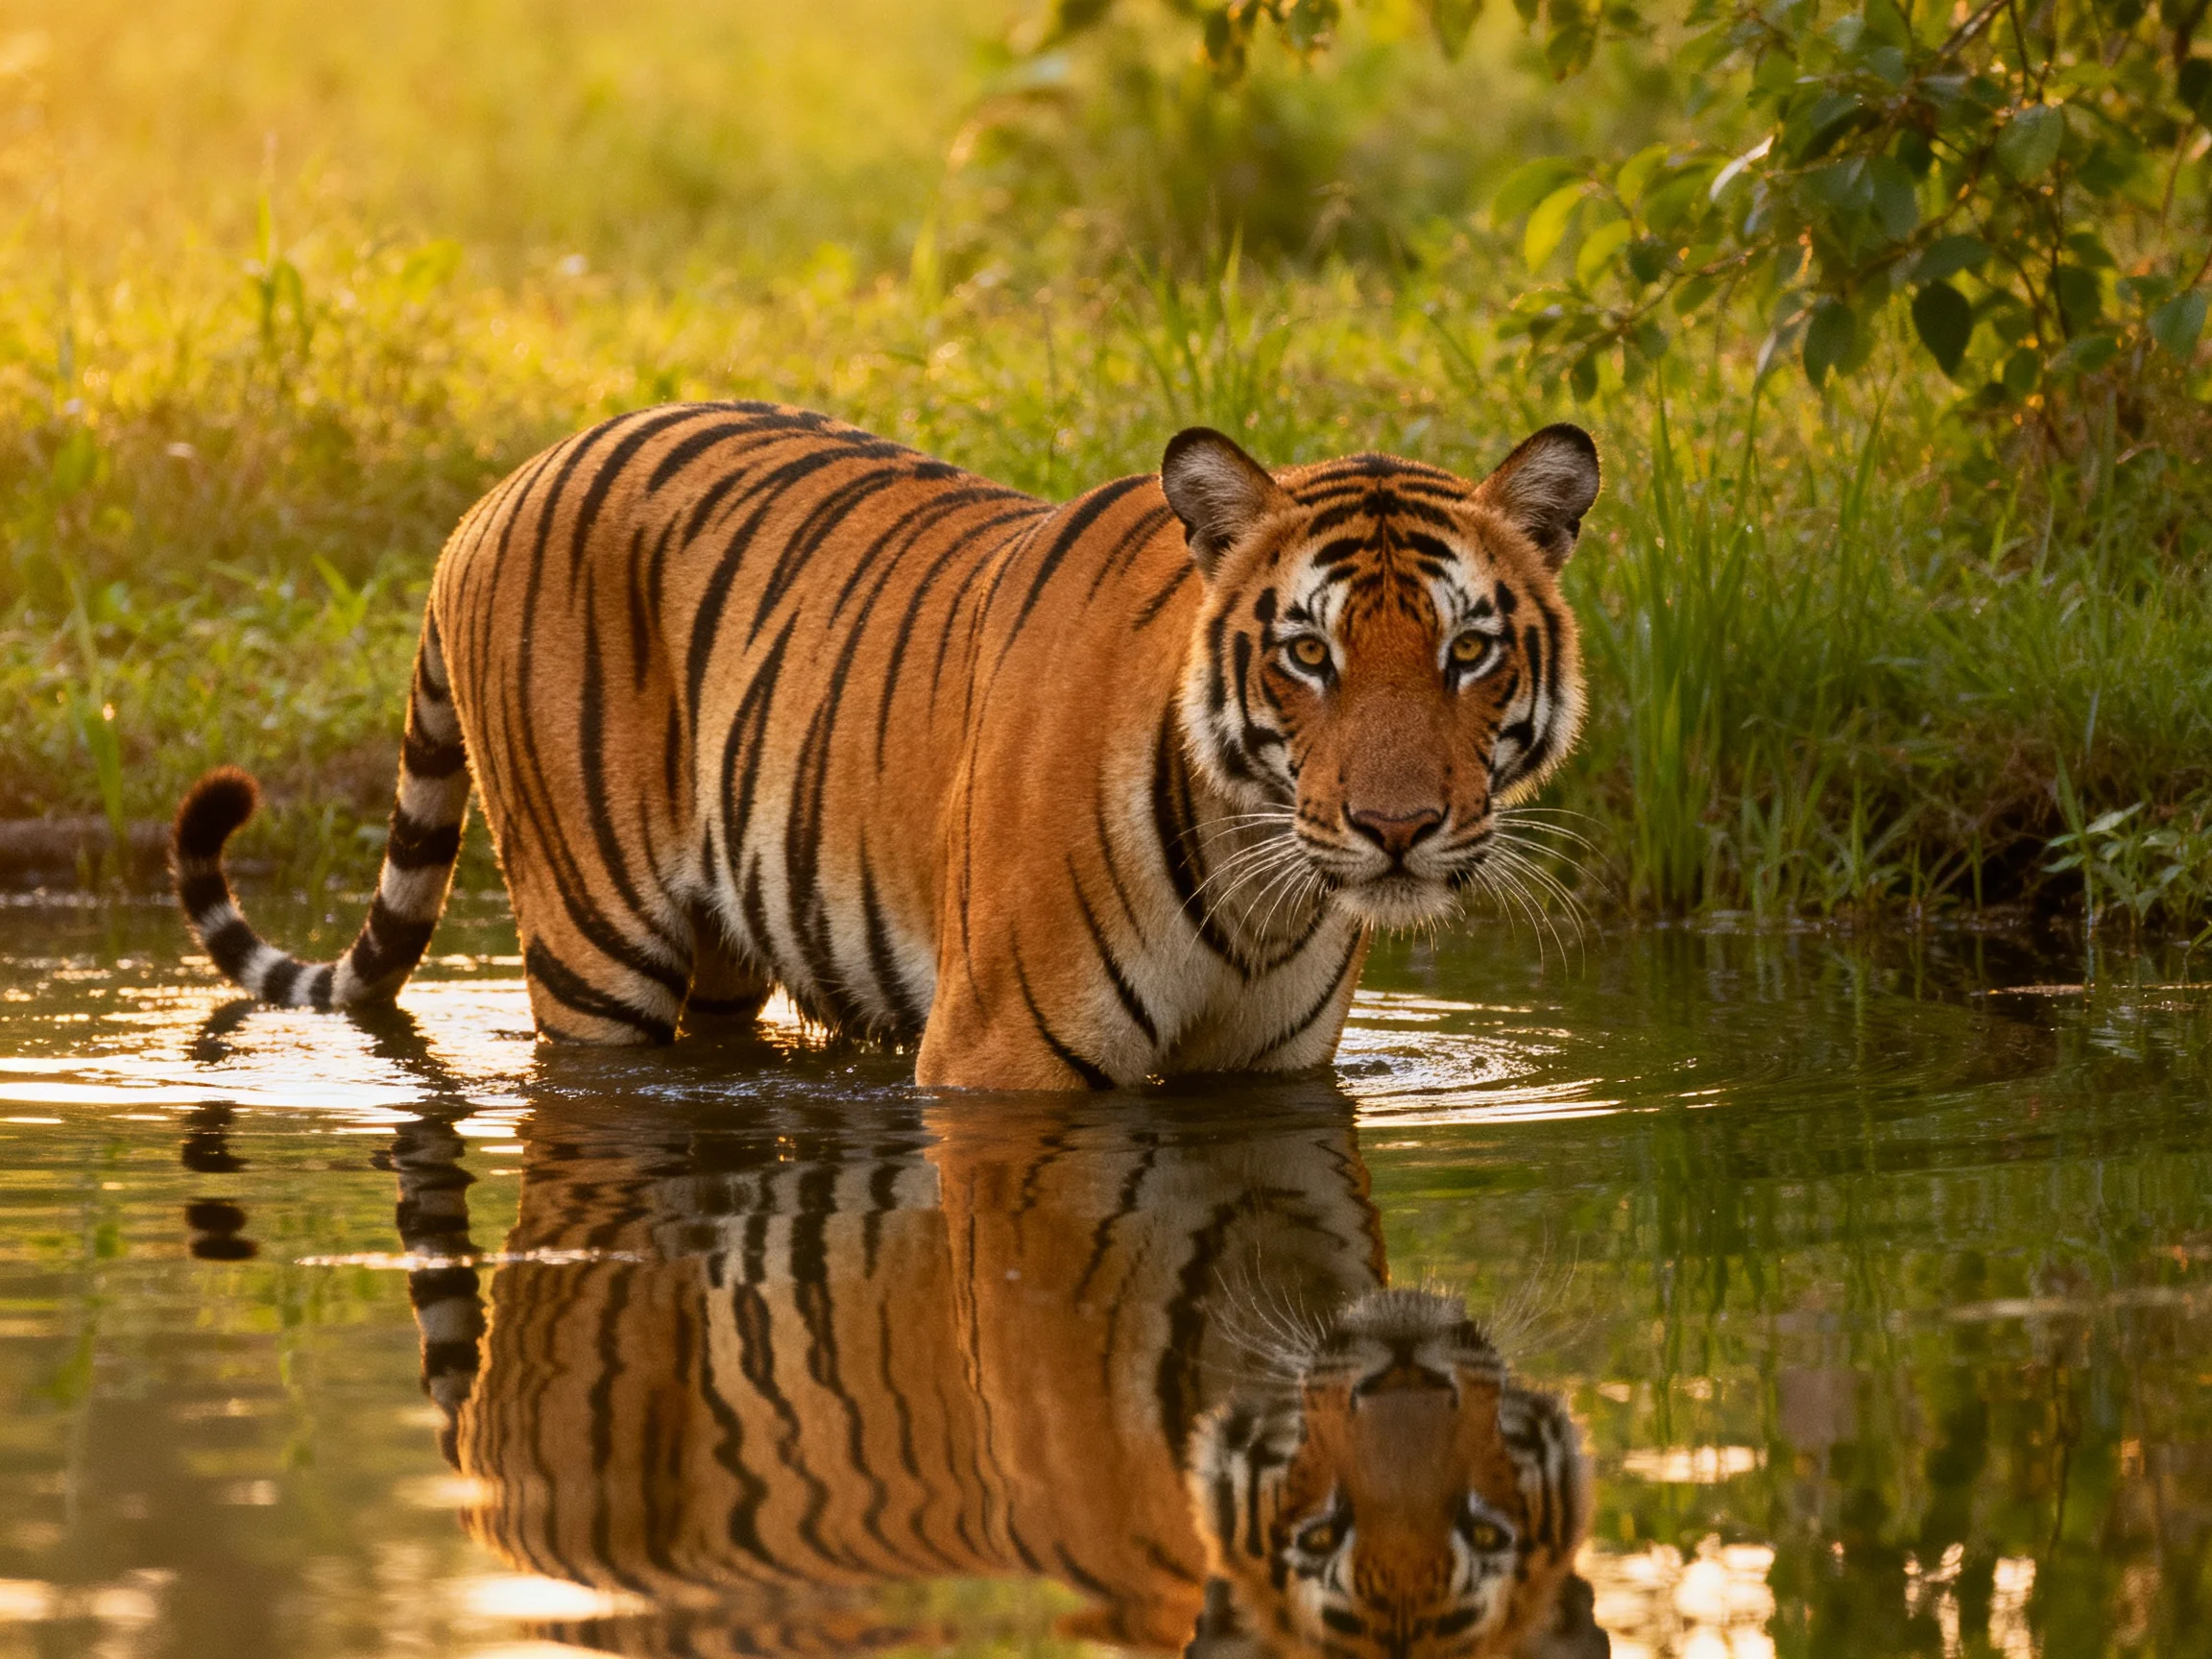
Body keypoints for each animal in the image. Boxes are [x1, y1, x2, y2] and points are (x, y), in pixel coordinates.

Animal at [171, 403, 1600, 1088]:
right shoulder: (1001, 1060)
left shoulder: (1269, 1072)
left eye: (1469, 651)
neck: (1261, 891)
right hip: (592, 949)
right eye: (1310, 654)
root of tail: (490, 493)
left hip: (724, 940)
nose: (1398, 830)